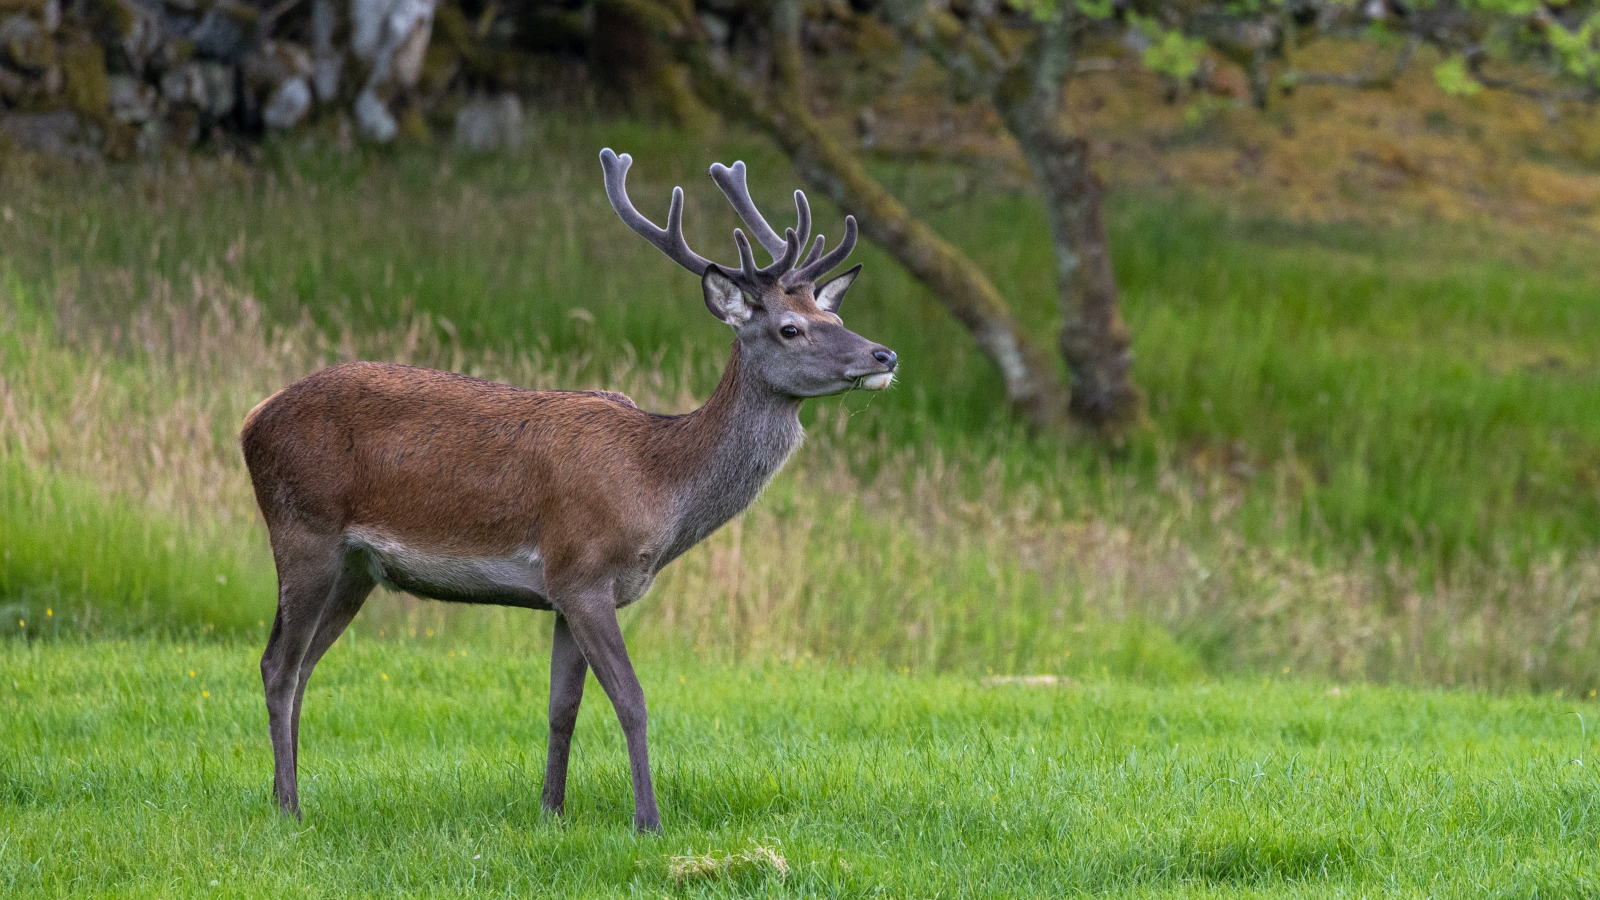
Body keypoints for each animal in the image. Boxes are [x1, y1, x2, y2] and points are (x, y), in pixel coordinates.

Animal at [240, 148, 898, 832]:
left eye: (836, 315)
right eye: (791, 328)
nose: (884, 355)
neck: (657, 484)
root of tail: (250, 420)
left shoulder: (561, 590)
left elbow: (564, 707)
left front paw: (552, 812)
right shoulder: (582, 570)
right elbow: (632, 699)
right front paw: (647, 820)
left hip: (357, 568)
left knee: (305, 663)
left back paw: (285, 792)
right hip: (303, 529)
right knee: (278, 664)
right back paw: (288, 808)